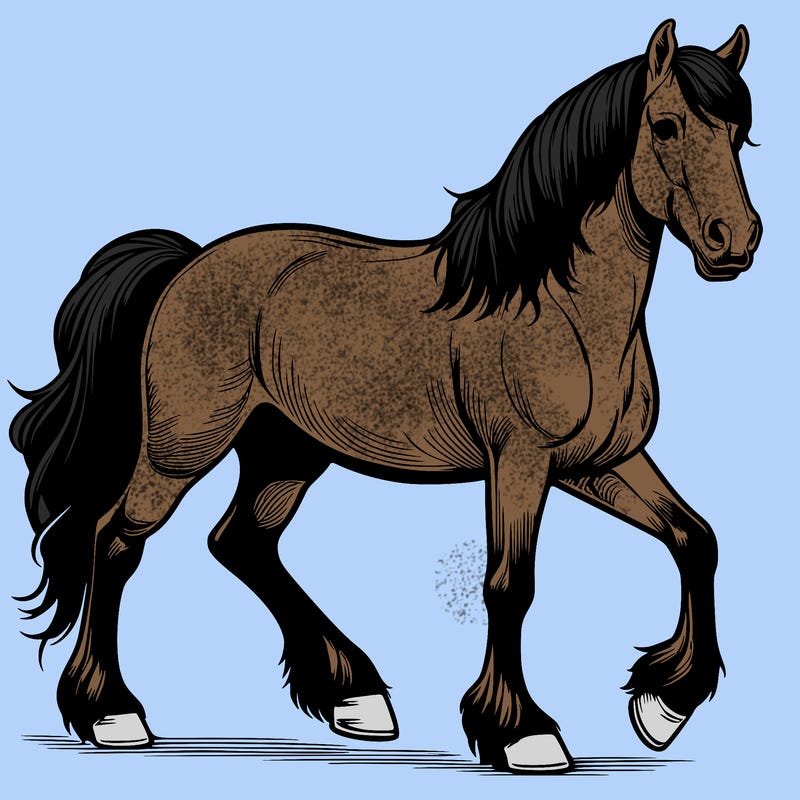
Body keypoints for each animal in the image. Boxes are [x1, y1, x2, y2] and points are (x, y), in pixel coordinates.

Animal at [10, 20, 760, 773]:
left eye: (740, 132)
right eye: (665, 126)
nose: (736, 240)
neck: (555, 306)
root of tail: (187, 264)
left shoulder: (598, 463)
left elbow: (696, 539)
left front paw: (663, 705)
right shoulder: (520, 462)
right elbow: (510, 584)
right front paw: (522, 733)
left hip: (286, 451)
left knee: (241, 542)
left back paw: (354, 696)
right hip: (181, 448)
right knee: (115, 541)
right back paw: (112, 714)